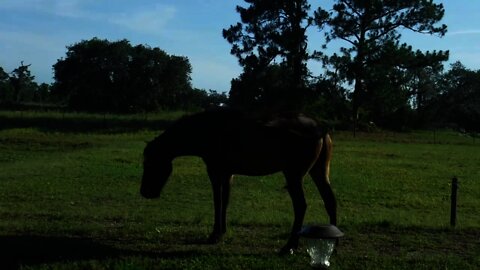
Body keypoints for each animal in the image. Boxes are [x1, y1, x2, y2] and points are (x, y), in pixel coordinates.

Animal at [141, 109, 338, 253]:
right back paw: (334, 245)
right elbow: (225, 201)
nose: (144, 192)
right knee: (330, 201)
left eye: (149, 164)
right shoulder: (228, 173)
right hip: (319, 171)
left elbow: (217, 201)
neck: (206, 129)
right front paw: (222, 231)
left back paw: (290, 245)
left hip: (294, 175)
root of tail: (319, 126)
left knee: (301, 206)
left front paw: (214, 234)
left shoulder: (215, 171)